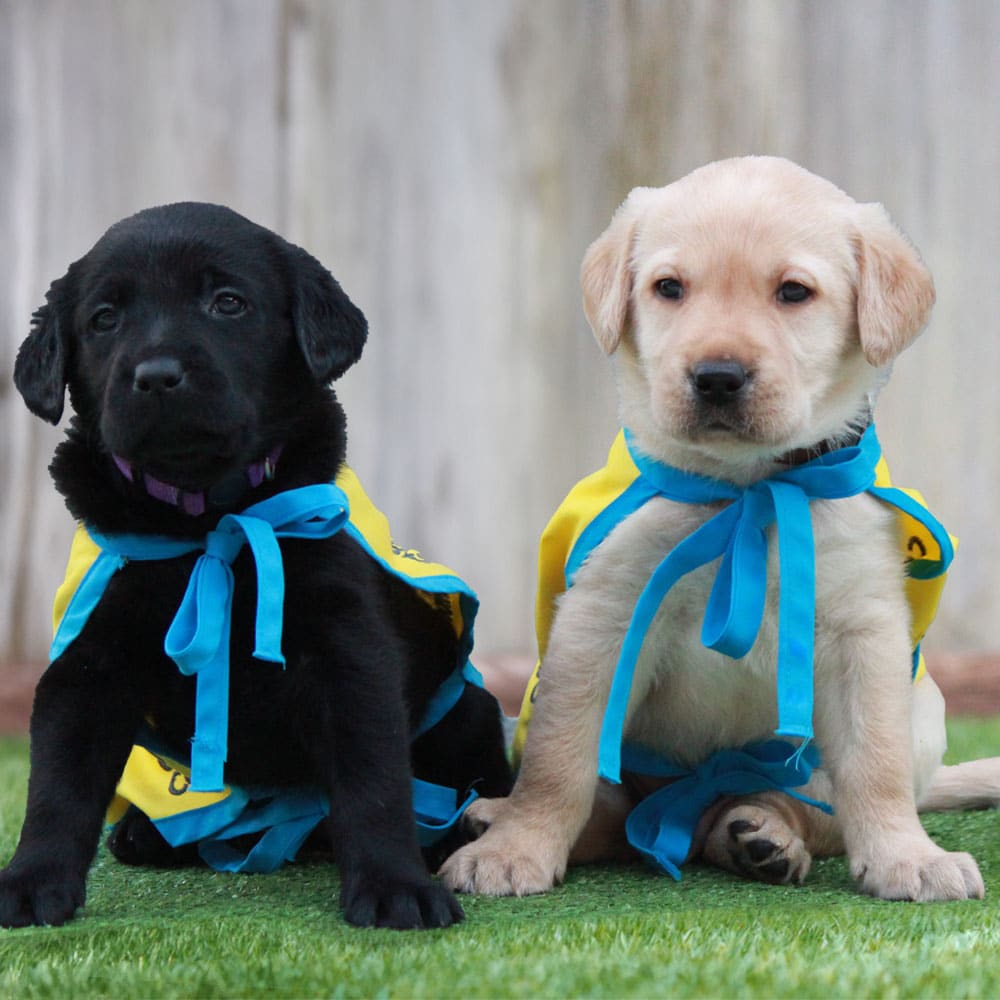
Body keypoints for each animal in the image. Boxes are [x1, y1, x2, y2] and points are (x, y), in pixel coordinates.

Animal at [3, 203, 512, 928]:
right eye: (104, 319)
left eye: (227, 303)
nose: (156, 375)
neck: (208, 521)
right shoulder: (89, 659)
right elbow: (57, 783)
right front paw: (31, 880)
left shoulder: (348, 651)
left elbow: (373, 780)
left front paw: (395, 886)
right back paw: (148, 832)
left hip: (466, 708)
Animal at [446, 154, 1000, 900]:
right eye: (669, 288)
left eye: (793, 292)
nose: (716, 377)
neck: (749, 488)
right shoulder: (602, 619)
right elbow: (561, 762)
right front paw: (516, 847)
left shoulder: (864, 631)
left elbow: (874, 764)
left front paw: (905, 856)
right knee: (613, 810)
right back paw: (497, 818)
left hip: (915, 725)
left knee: (800, 805)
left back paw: (761, 835)